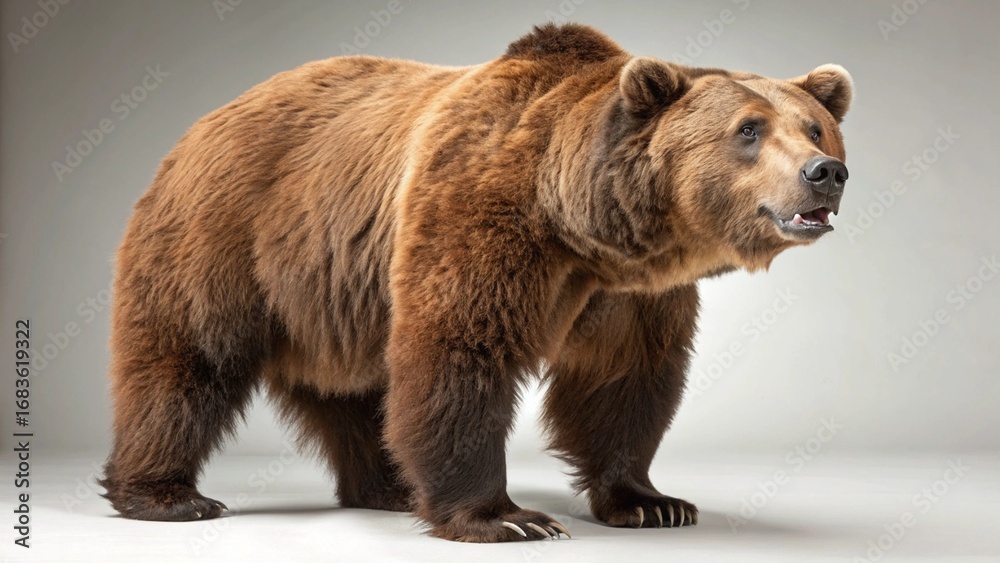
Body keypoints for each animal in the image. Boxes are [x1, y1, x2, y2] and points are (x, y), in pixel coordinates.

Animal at [99, 23, 851, 542]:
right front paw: (507, 517)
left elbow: (623, 379)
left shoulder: (633, 294)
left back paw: (390, 485)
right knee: (186, 360)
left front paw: (652, 501)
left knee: (356, 392)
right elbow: (462, 350)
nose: (825, 173)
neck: (584, 227)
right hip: (228, 235)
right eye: (748, 130)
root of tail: (204, 122)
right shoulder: (485, 213)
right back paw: (167, 495)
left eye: (815, 126)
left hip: (336, 295)